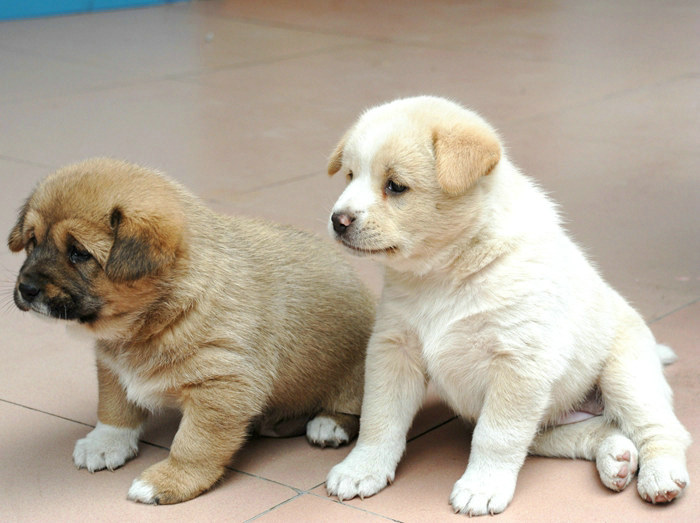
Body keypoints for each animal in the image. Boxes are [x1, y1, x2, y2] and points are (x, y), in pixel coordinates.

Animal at [8, 157, 375, 504]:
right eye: (32, 242)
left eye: (78, 253)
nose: (26, 288)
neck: (153, 319)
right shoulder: (112, 367)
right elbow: (114, 408)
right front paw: (106, 442)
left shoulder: (220, 387)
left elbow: (193, 445)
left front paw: (167, 481)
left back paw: (327, 424)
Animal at [324, 96, 691, 515]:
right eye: (350, 175)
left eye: (395, 186)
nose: (338, 220)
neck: (444, 274)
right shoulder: (394, 349)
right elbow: (380, 418)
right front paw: (362, 468)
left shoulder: (518, 364)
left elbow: (495, 436)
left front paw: (481, 488)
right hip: (549, 426)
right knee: (602, 430)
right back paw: (617, 458)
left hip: (626, 376)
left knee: (664, 430)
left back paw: (660, 476)